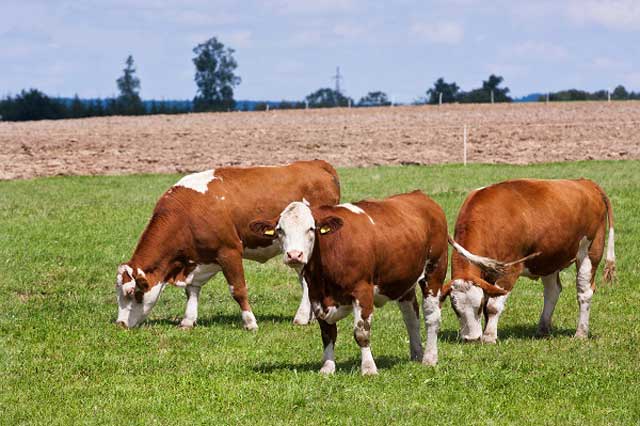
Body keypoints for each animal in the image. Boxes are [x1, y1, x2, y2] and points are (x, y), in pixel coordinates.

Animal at [115, 160, 340, 330]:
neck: (186, 213)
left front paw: (250, 323)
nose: (120, 324)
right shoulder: (198, 258)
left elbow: (238, 290)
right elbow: (192, 290)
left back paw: (301, 317)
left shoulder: (229, 252)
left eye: (134, 293)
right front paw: (188, 320)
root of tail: (316, 163)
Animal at [249, 190, 448, 375]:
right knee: (411, 317)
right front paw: (327, 367)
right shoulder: (316, 295)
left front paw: (368, 368)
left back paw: (429, 358)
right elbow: (328, 334)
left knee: (431, 316)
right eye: (280, 230)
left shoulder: (363, 291)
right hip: (403, 282)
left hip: (434, 271)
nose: (294, 255)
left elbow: (361, 333)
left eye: (311, 229)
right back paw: (416, 353)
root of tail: (419, 195)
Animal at [441, 178, 616, 343]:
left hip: (590, 252)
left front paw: (489, 336)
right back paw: (543, 329)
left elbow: (492, 306)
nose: (470, 339)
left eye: (477, 307)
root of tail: (586, 183)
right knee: (552, 291)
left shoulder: (509, 271)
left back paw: (581, 333)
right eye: (455, 308)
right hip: (549, 258)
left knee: (584, 292)